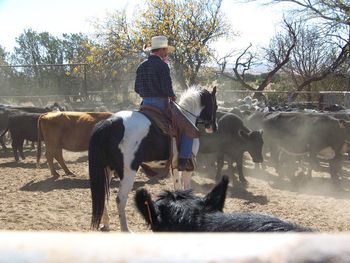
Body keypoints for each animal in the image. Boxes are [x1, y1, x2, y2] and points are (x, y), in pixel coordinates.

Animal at [89, 86, 217, 231]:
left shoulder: (174, 166)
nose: (214, 127)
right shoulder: (187, 167)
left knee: (103, 195)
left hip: (107, 169)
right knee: (120, 199)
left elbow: (177, 187)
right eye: (215, 105)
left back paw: (106, 224)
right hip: (128, 172)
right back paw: (126, 229)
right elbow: (186, 186)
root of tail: (109, 123)